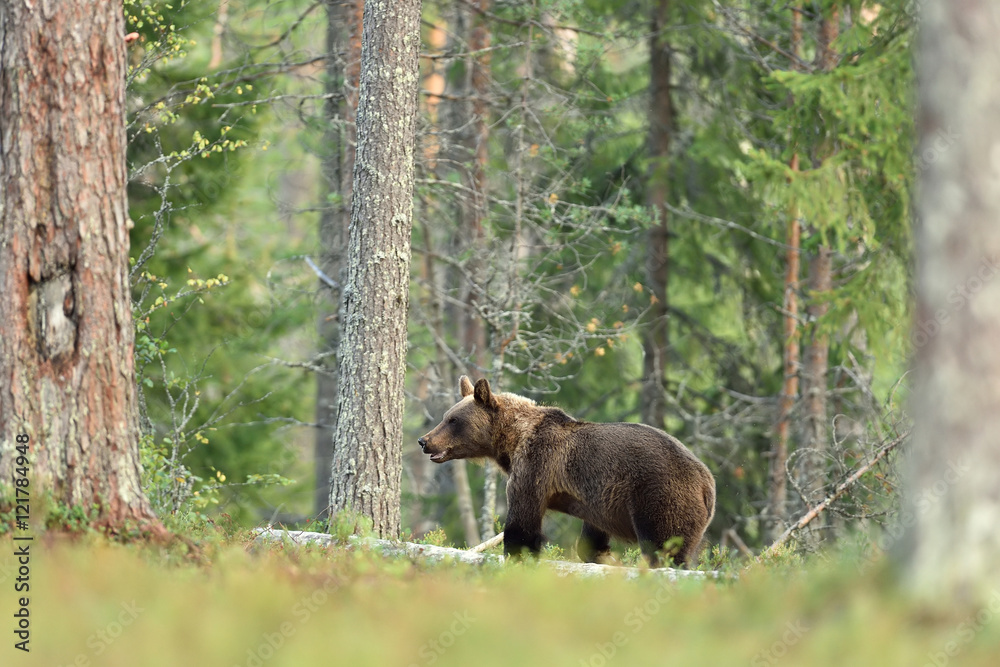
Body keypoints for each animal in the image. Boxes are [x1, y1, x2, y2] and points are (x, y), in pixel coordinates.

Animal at [418, 376, 716, 568]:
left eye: (453, 420)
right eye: (446, 416)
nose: (424, 440)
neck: (512, 440)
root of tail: (707, 481)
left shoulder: (536, 465)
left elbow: (522, 522)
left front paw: (516, 555)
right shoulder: (598, 497)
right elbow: (591, 536)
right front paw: (604, 556)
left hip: (660, 495)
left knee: (665, 545)